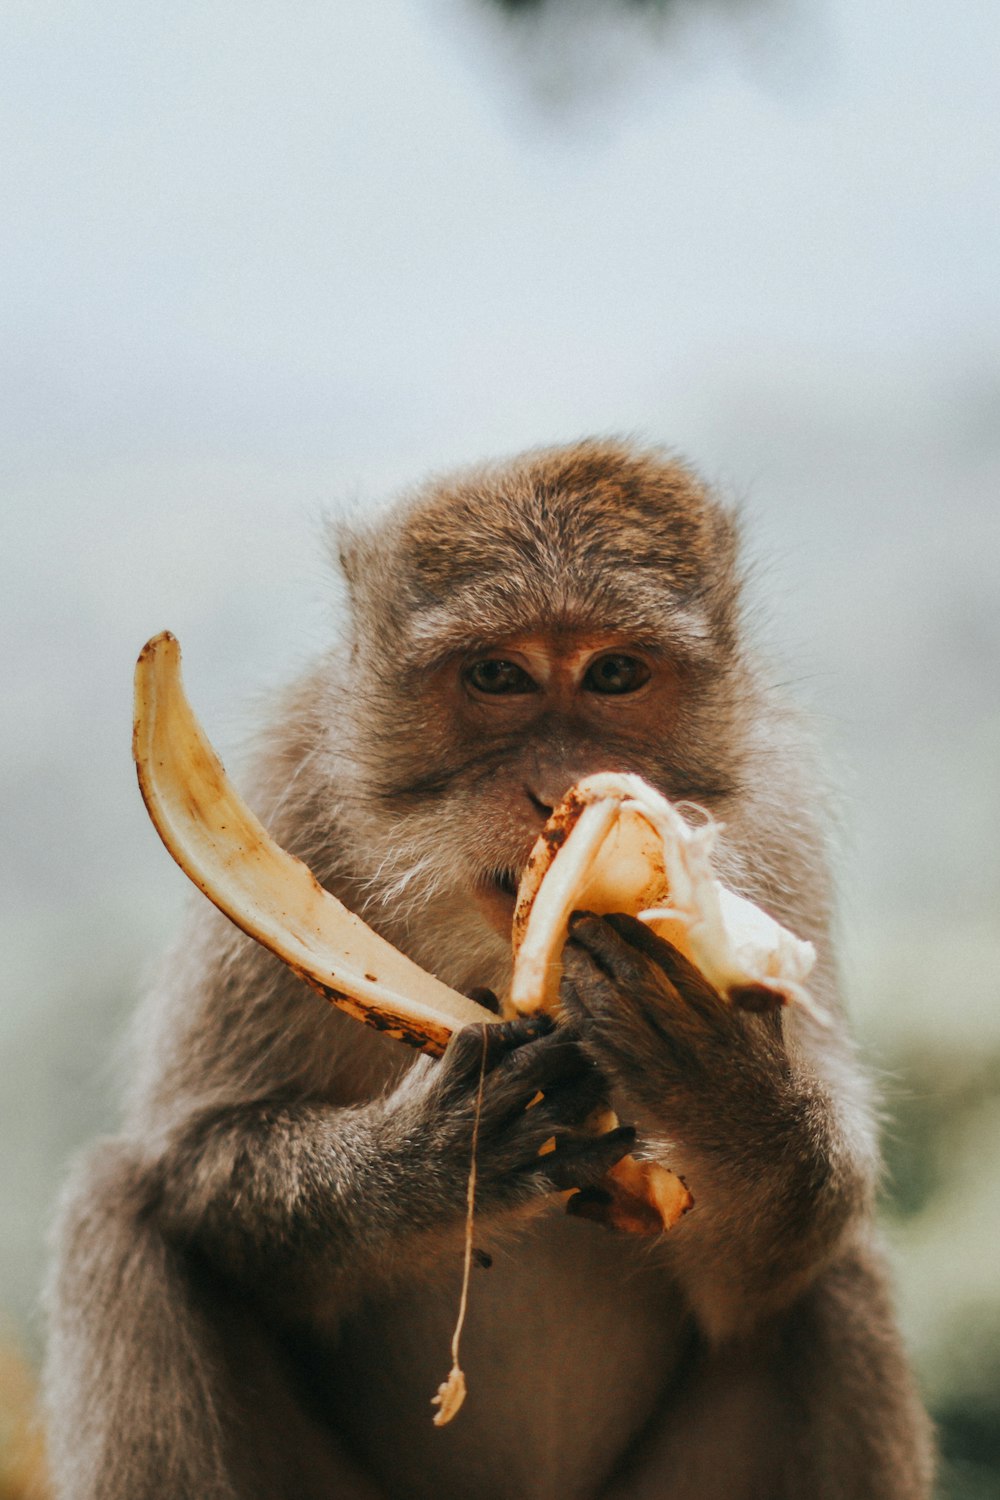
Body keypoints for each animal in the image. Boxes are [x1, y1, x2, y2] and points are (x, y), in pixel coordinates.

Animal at [44, 438, 941, 1500]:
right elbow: (199, 1158)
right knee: (119, 1207)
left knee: (836, 1272)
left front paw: (734, 1097)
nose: (558, 789)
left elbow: (764, 1265)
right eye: (499, 674)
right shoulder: (290, 784)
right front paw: (434, 1158)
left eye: (615, 672)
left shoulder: (779, 821)